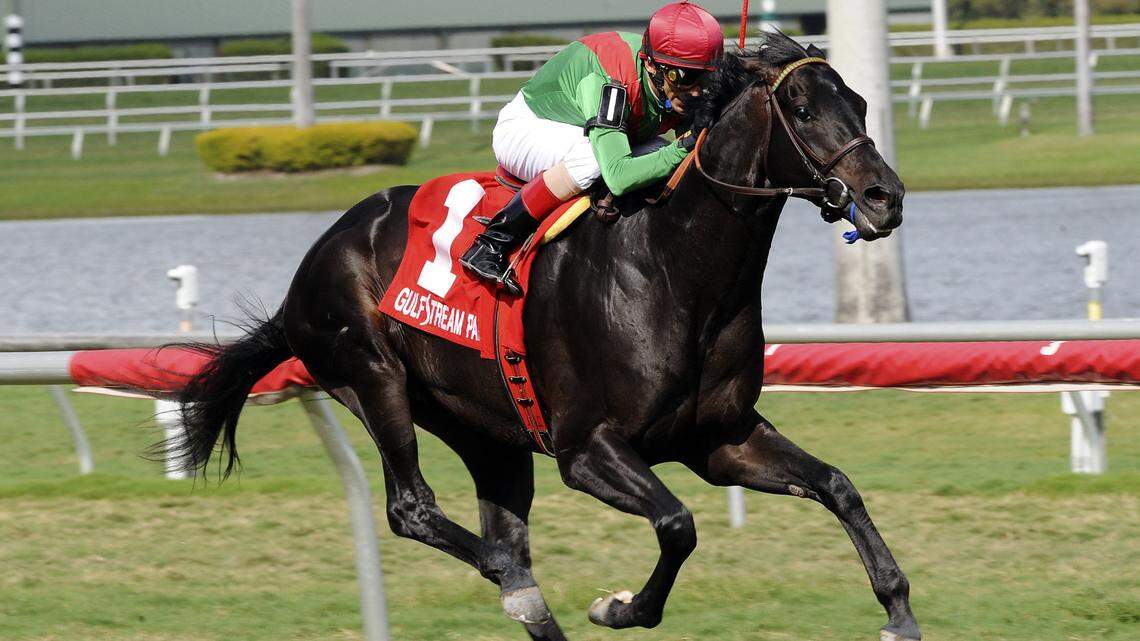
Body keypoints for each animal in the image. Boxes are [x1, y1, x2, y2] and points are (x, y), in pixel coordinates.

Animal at [172, 32, 920, 641]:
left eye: (860, 101)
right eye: (800, 107)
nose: (884, 197)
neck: (674, 266)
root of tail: (309, 267)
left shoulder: (718, 437)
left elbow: (837, 485)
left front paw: (897, 609)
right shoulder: (585, 447)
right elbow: (677, 524)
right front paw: (620, 606)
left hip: (486, 430)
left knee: (500, 525)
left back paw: (523, 592)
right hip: (370, 373)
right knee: (417, 510)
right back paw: (512, 578)